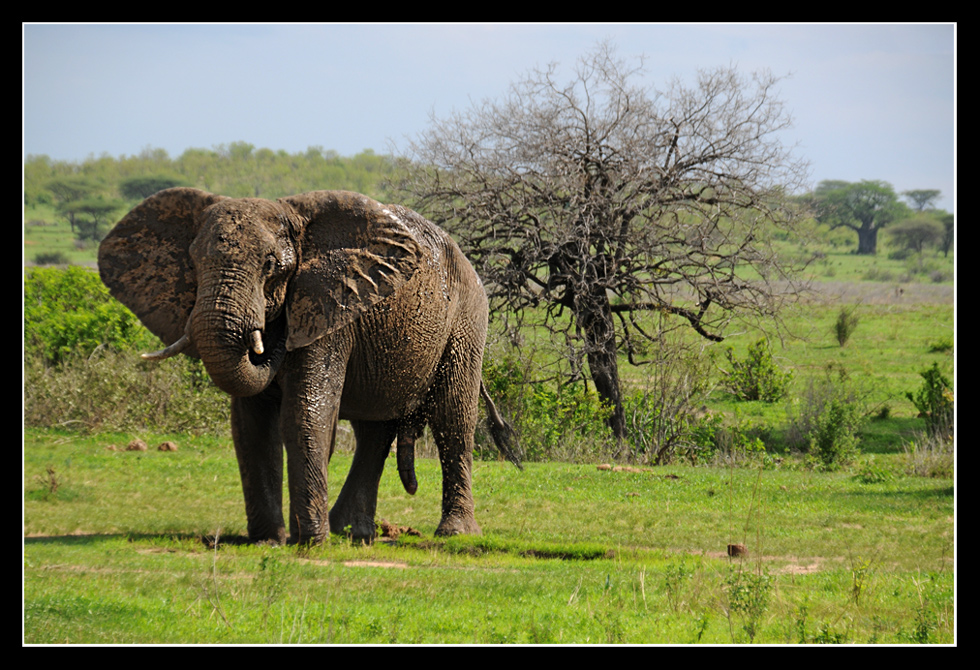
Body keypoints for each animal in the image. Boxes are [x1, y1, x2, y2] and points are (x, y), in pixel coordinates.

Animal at [98, 185, 520, 544]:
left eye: (271, 266)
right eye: (194, 262)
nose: (273, 333)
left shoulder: (332, 307)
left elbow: (305, 411)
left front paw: (310, 542)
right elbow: (251, 426)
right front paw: (269, 540)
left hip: (467, 320)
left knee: (453, 419)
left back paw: (453, 534)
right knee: (374, 431)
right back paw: (351, 532)